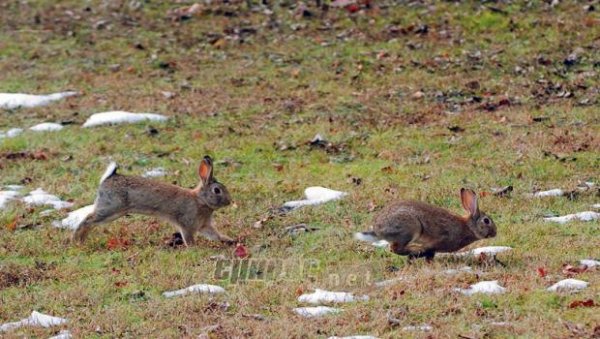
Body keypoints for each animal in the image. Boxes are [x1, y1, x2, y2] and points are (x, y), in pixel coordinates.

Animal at [72, 157, 234, 247]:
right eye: (217, 190)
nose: (229, 201)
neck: (201, 200)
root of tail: (108, 178)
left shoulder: (204, 225)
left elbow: (215, 235)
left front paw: (228, 240)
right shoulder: (186, 224)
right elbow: (188, 238)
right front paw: (193, 248)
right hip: (110, 208)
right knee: (87, 220)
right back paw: (77, 241)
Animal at [354, 189, 494, 260]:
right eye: (486, 221)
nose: (495, 233)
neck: (468, 227)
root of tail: (378, 230)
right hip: (411, 228)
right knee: (395, 248)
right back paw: (416, 250)